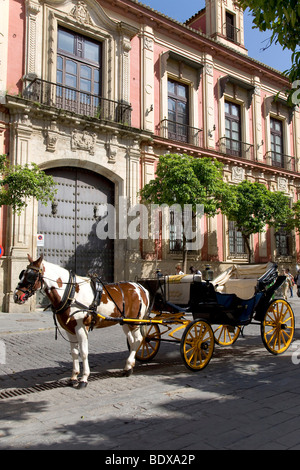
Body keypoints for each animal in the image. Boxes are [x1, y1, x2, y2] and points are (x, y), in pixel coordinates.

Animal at [14, 255, 150, 388]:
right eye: (22, 274)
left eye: (31, 276)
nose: (16, 296)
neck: (70, 293)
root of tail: (141, 288)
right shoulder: (69, 330)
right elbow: (74, 353)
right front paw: (73, 377)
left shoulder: (81, 328)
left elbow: (84, 353)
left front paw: (84, 378)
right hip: (126, 322)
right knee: (132, 341)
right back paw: (128, 367)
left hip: (135, 322)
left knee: (139, 340)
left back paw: (129, 364)